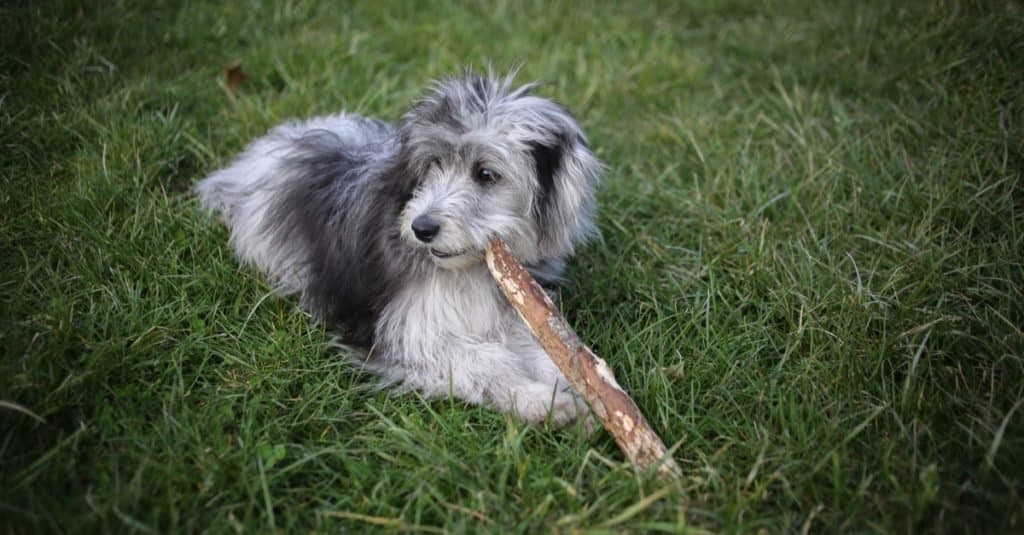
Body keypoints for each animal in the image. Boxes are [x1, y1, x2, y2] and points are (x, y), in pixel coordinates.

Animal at [195, 70, 602, 422]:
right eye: (433, 164)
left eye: (486, 174)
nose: (422, 228)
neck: (467, 270)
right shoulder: (402, 332)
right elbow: (485, 361)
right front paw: (540, 402)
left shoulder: (516, 313)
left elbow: (547, 354)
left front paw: (578, 396)